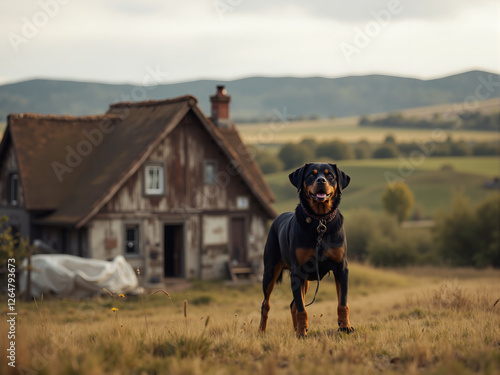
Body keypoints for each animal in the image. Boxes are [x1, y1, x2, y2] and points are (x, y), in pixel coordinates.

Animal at [260, 162, 354, 338]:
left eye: (330, 175)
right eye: (311, 174)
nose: (321, 181)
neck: (320, 221)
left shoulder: (341, 268)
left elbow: (342, 303)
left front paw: (345, 327)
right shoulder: (298, 271)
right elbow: (302, 309)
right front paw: (302, 333)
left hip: (305, 281)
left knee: (292, 305)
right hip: (270, 271)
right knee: (266, 303)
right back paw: (263, 331)